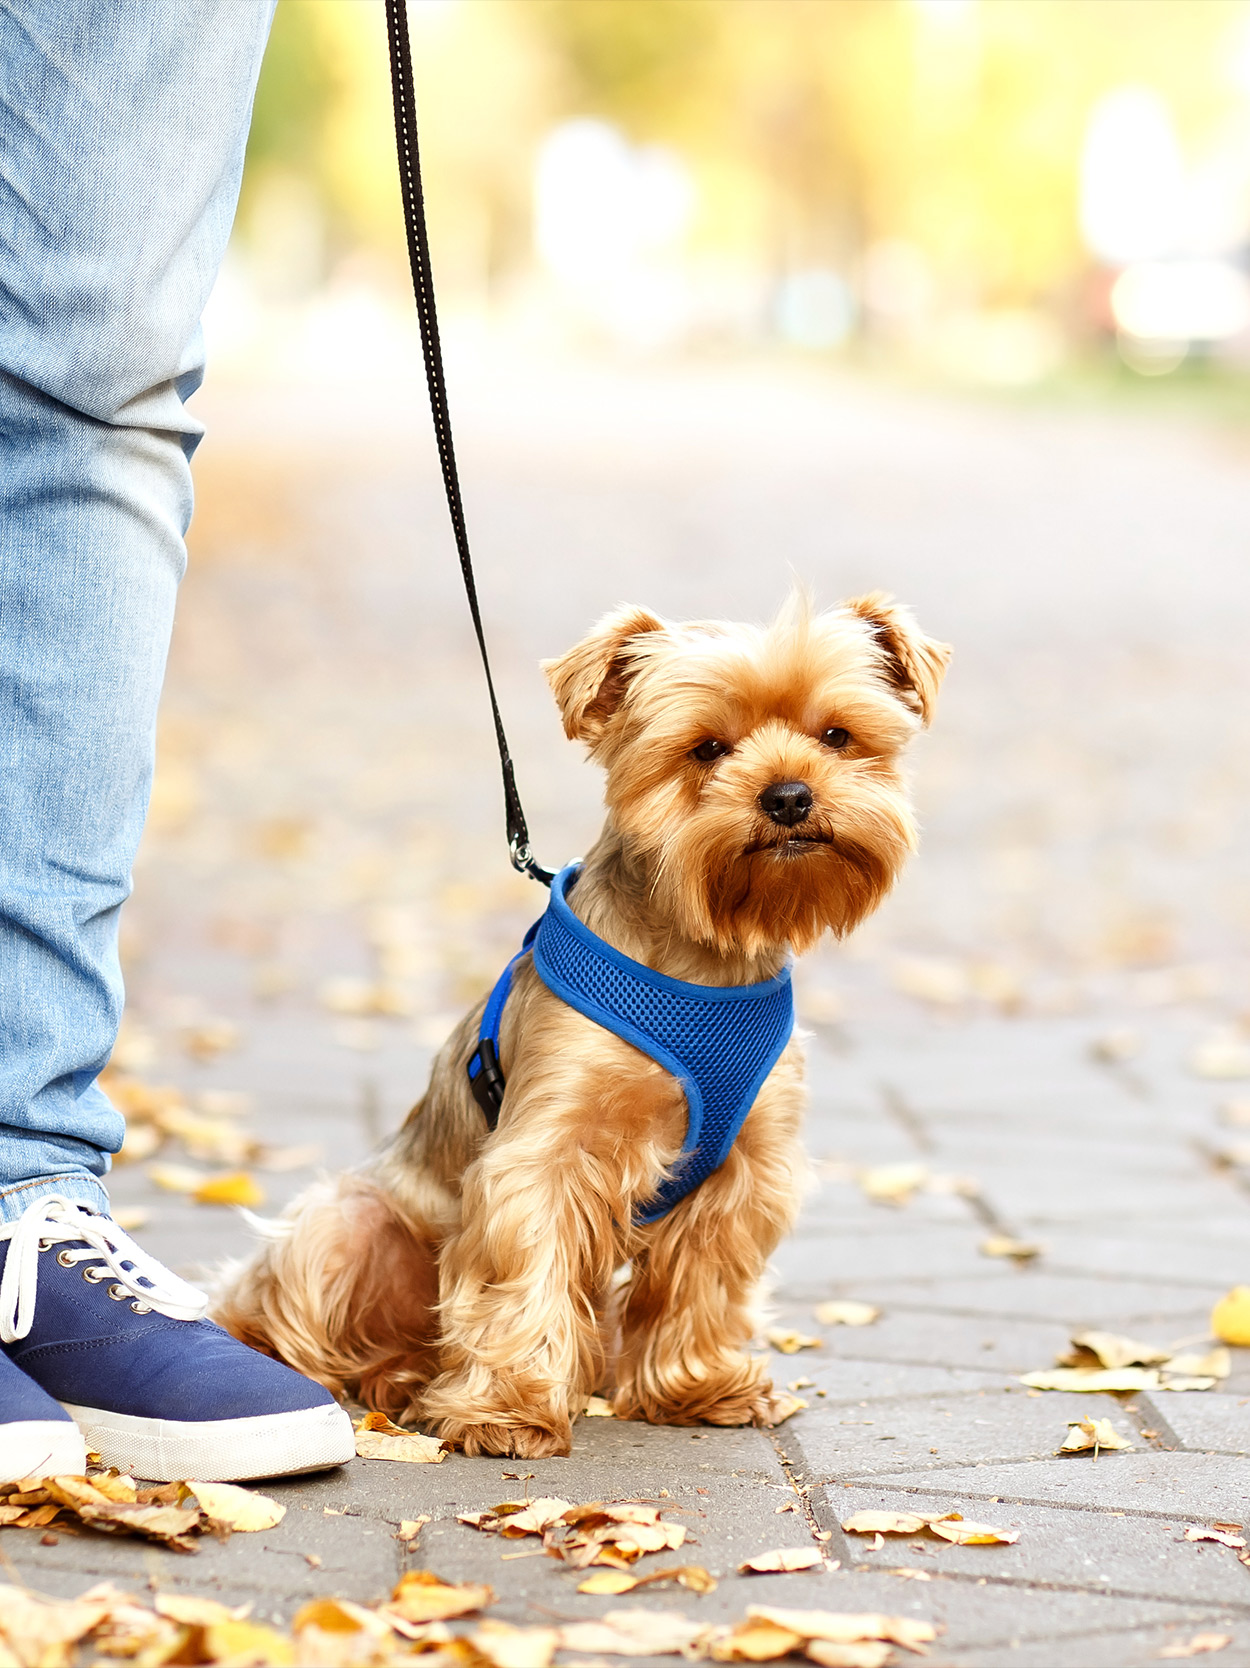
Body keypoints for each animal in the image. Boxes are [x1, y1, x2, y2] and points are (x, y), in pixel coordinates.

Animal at [218, 593, 947, 1454]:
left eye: (837, 735)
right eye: (707, 749)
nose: (790, 795)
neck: (701, 965)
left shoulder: (746, 1167)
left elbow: (702, 1282)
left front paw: (695, 1386)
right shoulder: (542, 1155)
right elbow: (521, 1272)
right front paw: (504, 1410)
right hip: (345, 1223)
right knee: (290, 1317)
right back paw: (378, 1379)